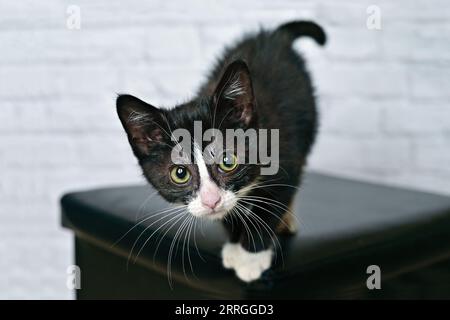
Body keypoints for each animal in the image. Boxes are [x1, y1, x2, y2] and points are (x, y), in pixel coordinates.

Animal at [117, 20, 326, 282]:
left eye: (228, 161)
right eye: (180, 173)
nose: (211, 201)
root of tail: (274, 35)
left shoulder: (286, 155)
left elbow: (273, 203)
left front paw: (251, 256)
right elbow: (231, 212)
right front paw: (235, 245)